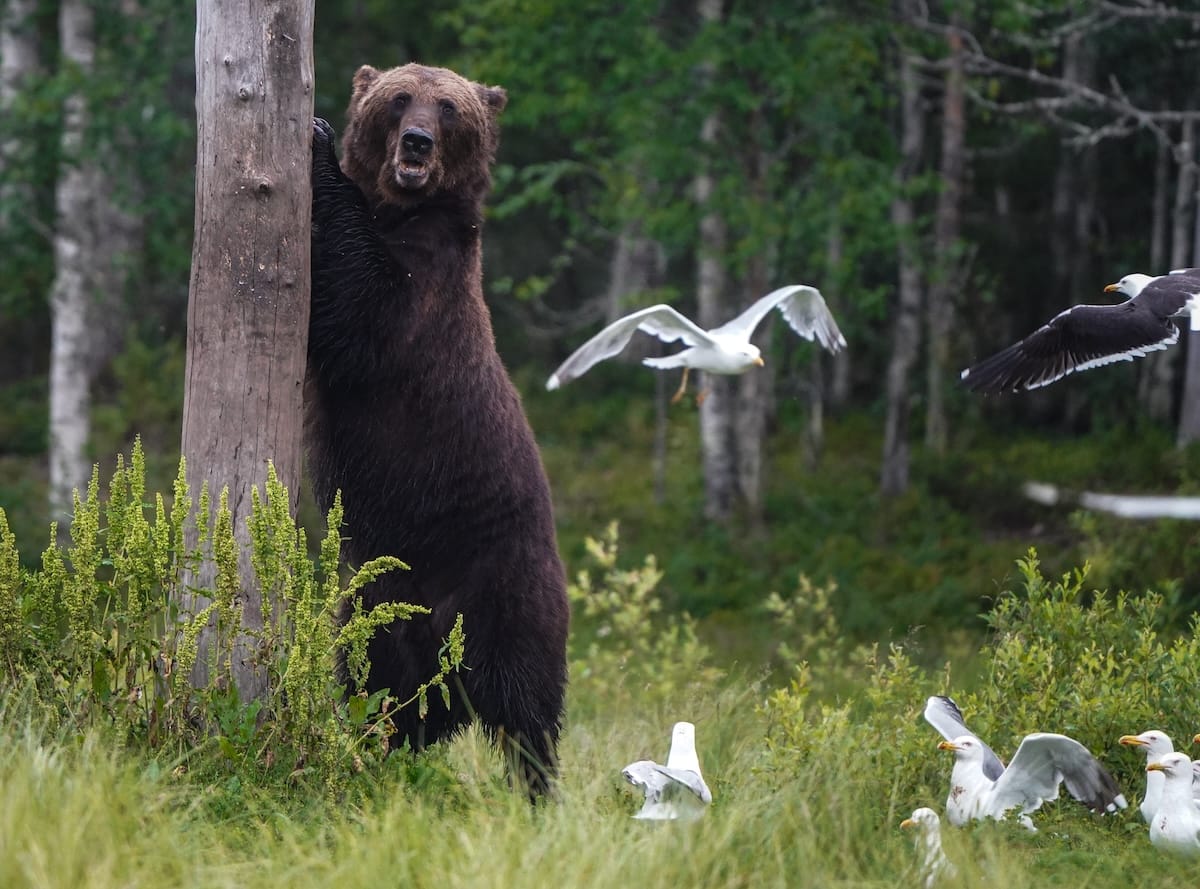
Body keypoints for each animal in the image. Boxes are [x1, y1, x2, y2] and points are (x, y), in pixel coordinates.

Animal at [309, 64, 571, 796]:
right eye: (399, 97)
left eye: (449, 107)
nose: (418, 142)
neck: (403, 208)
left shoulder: (423, 288)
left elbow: (361, 307)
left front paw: (319, 144)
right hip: (378, 604)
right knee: (381, 687)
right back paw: (374, 748)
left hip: (507, 585)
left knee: (526, 703)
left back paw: (536, 789)